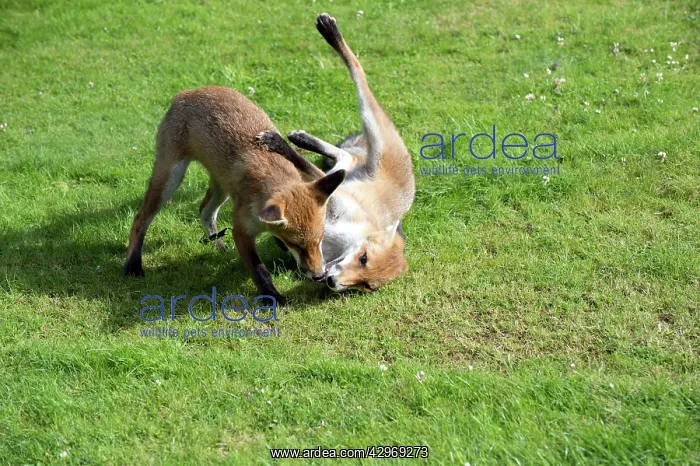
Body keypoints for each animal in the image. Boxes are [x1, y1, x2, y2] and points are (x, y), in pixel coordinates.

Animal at [123, 86, 346, 304]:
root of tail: (187, 92)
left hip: (222, 187)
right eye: (296, 244)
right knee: (140, 219)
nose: (319, 275)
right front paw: (272, 297)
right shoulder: (241, 231)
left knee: (204, 211)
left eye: (320, 239)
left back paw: (219, 247)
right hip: (170, 179)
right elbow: (259, 269)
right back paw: (133, 265)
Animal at [257, 13, 415, 293]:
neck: (337, 242)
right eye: (363, 258)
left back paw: (302, 138)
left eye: (366, 286)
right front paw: (277, 143)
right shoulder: (332, 197)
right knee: (359, 72)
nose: (331, 281)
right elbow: (304, 166)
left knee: (344, 157)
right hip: (374, 128)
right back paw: (330, 31)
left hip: (350, 163)